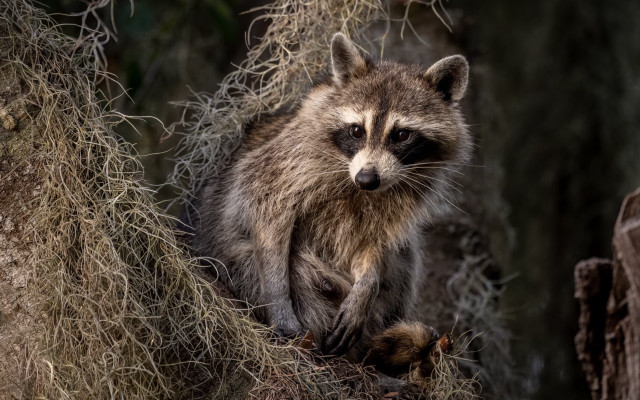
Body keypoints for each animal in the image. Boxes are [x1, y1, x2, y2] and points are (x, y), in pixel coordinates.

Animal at [190, 33, 471, 366]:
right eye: (356, 130)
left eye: (402, 135)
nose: (367, 179)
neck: (356, 184)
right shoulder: (283, 165)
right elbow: (267, 216)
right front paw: (278, 300)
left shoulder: (394, 202)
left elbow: (374, 244)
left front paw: (366, 287)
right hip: (237, 260)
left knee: (404, 257)